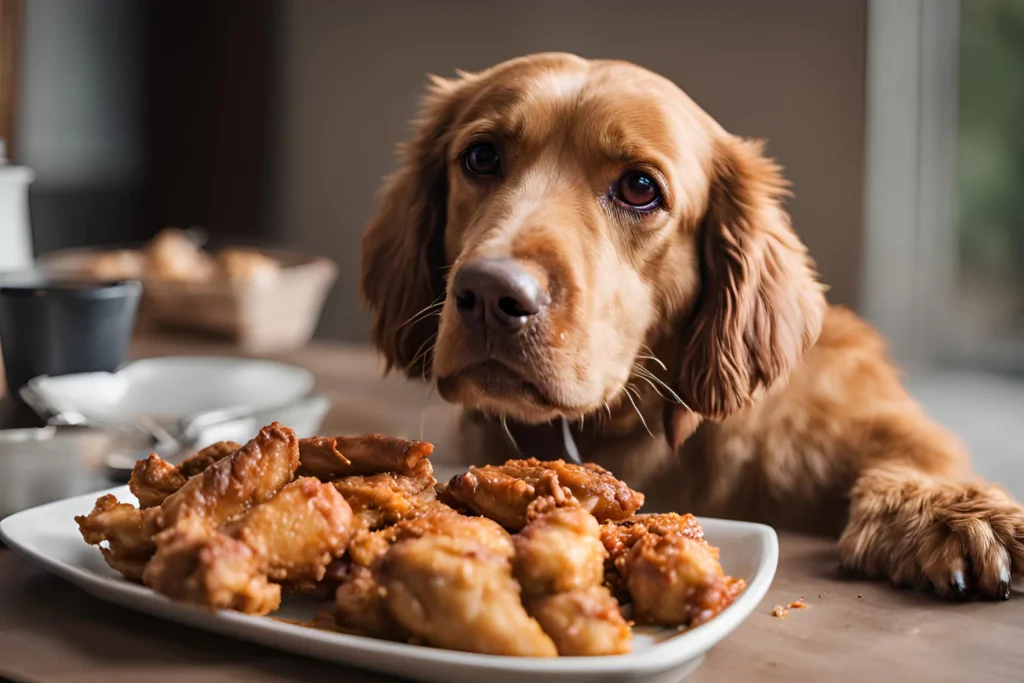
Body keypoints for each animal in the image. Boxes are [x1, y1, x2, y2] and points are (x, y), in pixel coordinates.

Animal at [360, 52, 1024, 598]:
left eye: (639, 186)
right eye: (481, 156)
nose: (491, 294)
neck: (635, 431)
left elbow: (917, 454)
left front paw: (953, 511)